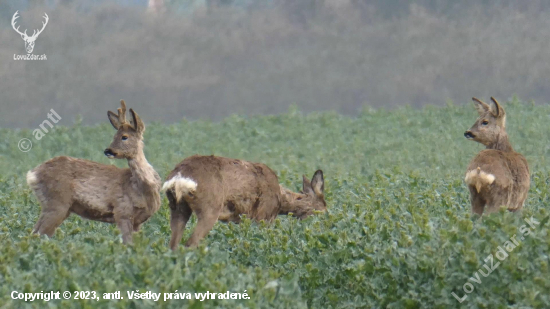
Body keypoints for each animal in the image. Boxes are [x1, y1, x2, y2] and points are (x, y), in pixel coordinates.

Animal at [26, 100, 162, 242]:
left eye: (124, 137)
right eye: (114, 135)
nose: (108, 151)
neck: (143, 188)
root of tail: (32, 174)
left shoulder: (137, 221)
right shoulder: (122, 211)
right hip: (57, 203)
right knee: (39, 234)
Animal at [161, 155, 328, 249]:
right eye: (324, 209)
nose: (327, 223)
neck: (281, 199)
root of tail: (179, 176)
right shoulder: (264, 216)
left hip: (177, 207)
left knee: (173, 244)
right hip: (210, 207)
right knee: (190, 243)